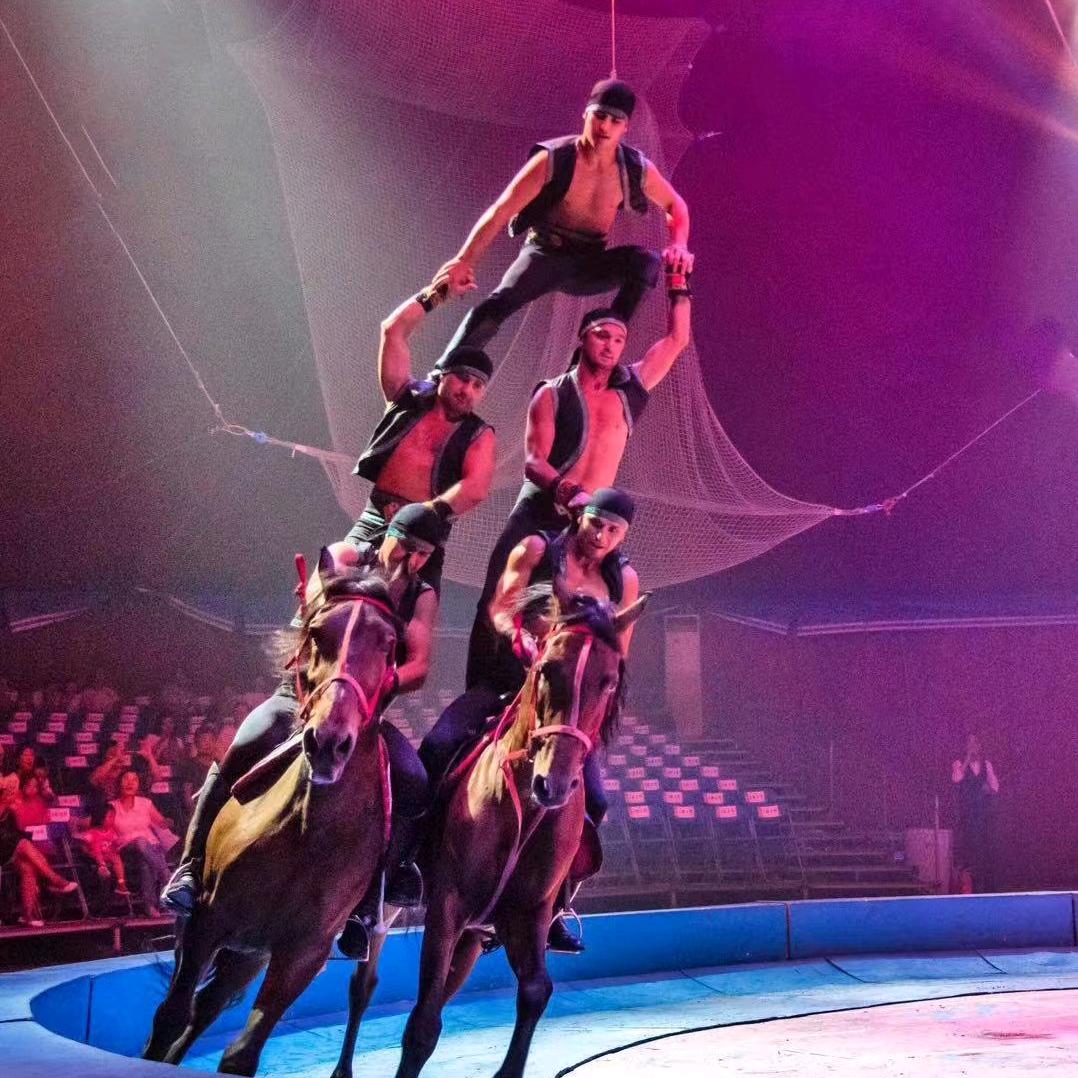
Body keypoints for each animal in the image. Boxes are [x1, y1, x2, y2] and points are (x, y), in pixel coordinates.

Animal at [144, 554, 400, 1076]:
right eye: (319, 633)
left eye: (388, 646)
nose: (328, 742)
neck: (308, 832)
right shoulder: (206, 920)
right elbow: (171, 1014)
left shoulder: (303, 953)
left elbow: (242, 1053)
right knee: (199, 1007)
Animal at [329, 586, 647, 1078]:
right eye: (545, 669)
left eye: (608, 681)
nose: (553, 783)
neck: (524, 809)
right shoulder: (449, 907)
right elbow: (422, 1024)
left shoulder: (531, 911)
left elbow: (535, 991)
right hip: (396, 907)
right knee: (364, 983)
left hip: (475, 937)